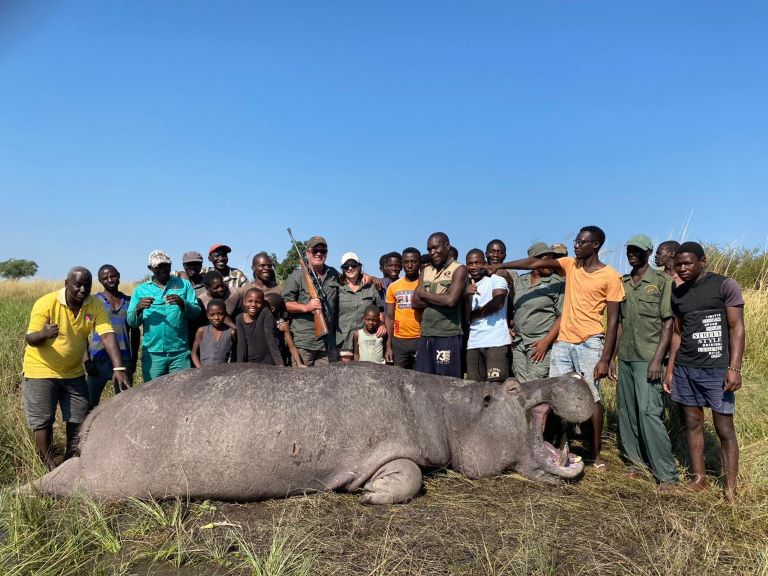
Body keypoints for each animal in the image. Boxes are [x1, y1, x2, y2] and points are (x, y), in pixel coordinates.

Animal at [34, 363, 593, 504]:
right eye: (514, 387)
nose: (573, 374)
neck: (451, 408)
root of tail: (100, 415)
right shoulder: (388, 451)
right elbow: (409, 475)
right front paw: (369, 496)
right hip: (108, 476)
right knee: (59, 483)